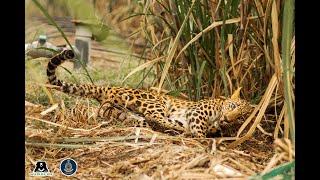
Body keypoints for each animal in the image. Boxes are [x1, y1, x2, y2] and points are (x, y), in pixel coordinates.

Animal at [47, 49, 252, 138]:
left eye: (241, 117)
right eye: (233, 106)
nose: (229, 118)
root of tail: (110, 87)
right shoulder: (196, 112)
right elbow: (199, 128)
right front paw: (201, 138)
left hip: (120, 112)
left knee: (139, 118)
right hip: (154, 101)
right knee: (155, 117)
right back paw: (173, 129)